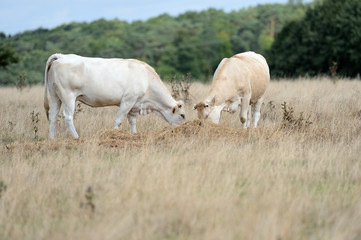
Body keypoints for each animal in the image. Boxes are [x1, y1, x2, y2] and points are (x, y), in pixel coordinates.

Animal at [44, 53, 186, 138]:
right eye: (182, 115)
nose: (184, 128)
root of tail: (61, 56)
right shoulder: (128, 101)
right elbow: (118, 120)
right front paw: (114, 134)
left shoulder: (134, 105)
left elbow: (133, 122)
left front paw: (134, 134)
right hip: (68, 96)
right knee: (67, 117)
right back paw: (76, 137)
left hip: (55, 96)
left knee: (52, 116)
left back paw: (52, 139)